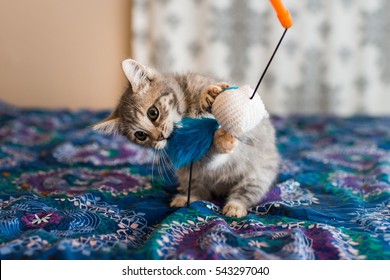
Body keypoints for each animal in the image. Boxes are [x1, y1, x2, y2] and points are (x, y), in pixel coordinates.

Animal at [93, 59, 278, 219]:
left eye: (153, 113)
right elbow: (208, 156)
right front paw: (221, 142)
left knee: (247, 191)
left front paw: (207, 95)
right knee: (201, 193)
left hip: (259, 173)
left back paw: (235, 206)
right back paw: (187, 198)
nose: (159, 136)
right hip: (187, 174)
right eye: (140, 135)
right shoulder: (192, 158)